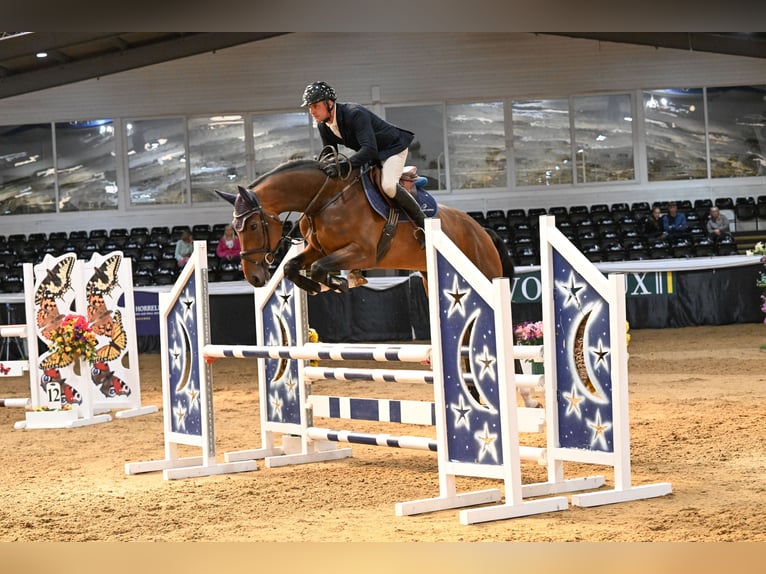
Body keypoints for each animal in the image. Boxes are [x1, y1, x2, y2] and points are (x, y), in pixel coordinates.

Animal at [216, 156, 516, 294]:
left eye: (253, 227)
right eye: (235, 229)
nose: (254, 278)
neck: (324, 198)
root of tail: (482, 232)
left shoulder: (363, 252)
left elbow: (319, 268)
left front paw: (336, 282)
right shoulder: (318, 248)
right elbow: (292, 266)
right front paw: (316, 285)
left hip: (485, 272)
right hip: (429, 278)